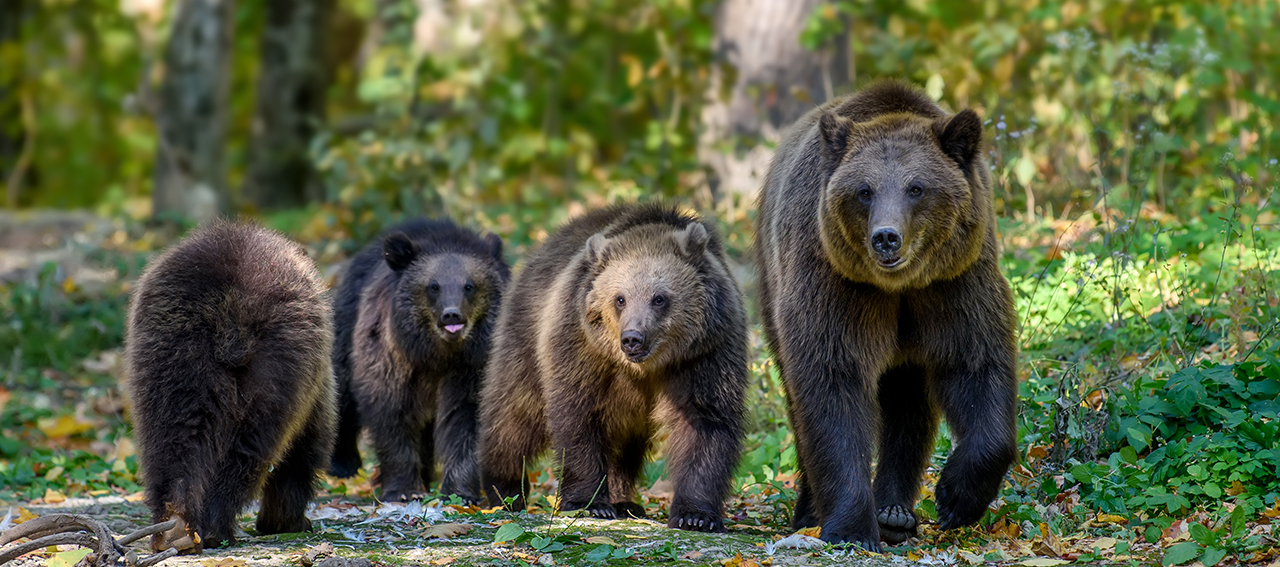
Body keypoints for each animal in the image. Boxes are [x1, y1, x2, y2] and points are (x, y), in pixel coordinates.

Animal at [124, 220, 336, 553]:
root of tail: (232, 312)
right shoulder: (315, 391)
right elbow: (304, 451)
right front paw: (288, 520)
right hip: (279, 361)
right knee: (249, 448)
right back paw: (215, 526)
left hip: (173, 354)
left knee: (172, 437)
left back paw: (175, 527)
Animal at [328, 219, 509, 505]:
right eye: (433, 286)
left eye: (469, 285)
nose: (451, 315)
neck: (437, 354)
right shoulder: (393, 359)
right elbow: (392, 413)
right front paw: (403, 489)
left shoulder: (472, 365)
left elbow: (465, 419)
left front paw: (460, 492)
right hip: (346, 329)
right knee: (341, 392)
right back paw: (342, 463)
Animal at [478, 204, 749, 533]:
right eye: (620, 298)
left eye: (659, 298)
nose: (632, 338)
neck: (646, 369)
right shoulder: (584, 349)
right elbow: (578, 415)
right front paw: (590, 503)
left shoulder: (705, 353)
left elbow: (705, 419)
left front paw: (696, 515)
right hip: (525, 336)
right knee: (515, 414)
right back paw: (503, 490)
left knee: (623, 446)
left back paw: (625, 502)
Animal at [754, 81, 1019, 550]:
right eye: (865, 190)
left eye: (917, 187)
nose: (886, 238)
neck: (898, 287)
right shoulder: (836, 283)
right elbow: (832, 381)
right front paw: (851, 528)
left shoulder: (954, 283)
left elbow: (976, 363)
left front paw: (955, 498)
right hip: (773, 284)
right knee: (798, 400)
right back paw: (813, 511)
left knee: (908, 405)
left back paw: (895, 513)